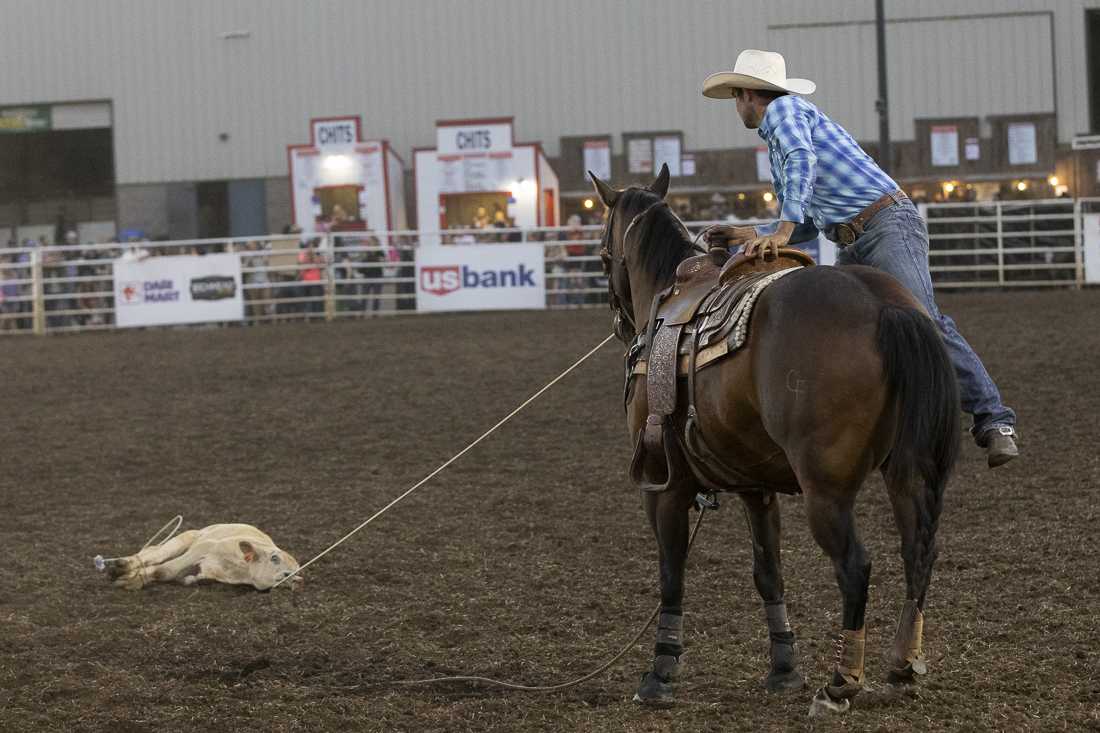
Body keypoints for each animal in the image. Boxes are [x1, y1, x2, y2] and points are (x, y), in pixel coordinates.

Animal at [589, 163, 959, 713]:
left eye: (600, 252)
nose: (618, 321)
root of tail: (884, 306)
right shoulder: (756, 487)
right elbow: (768, 572)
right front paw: (784, 668)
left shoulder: (665, 486)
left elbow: (671, 573)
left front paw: (660, 673)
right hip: (908, 473)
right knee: (918, 551)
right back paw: (903, 663)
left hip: (826, 491)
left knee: (855, 566)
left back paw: (842, 682)